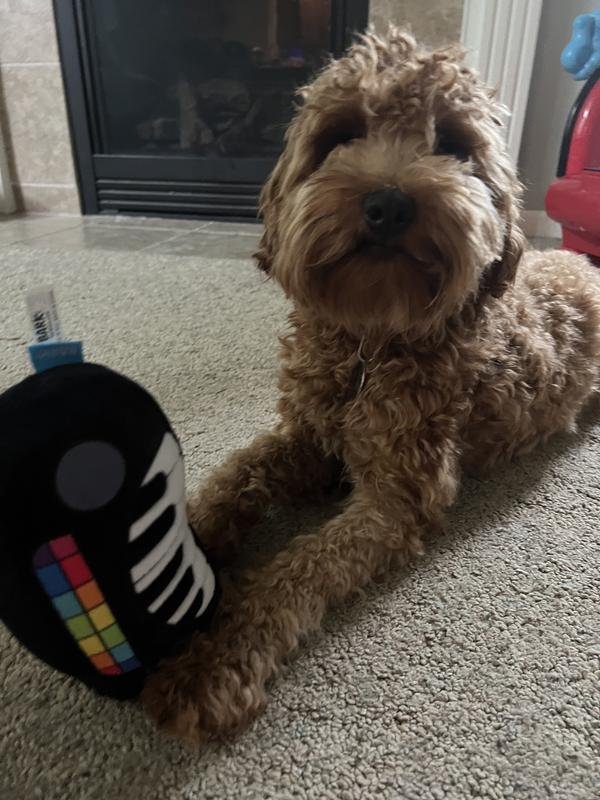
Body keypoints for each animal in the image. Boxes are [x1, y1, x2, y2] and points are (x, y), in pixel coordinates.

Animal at [143, 28, 600, 741]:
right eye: (341, 134)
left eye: (454, 144)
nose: (389, 203)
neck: (371, 343)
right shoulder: (305, 433)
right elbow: (235, 476)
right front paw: (181, 542)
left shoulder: (394, 499)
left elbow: (295, 571)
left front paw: (213, 659)